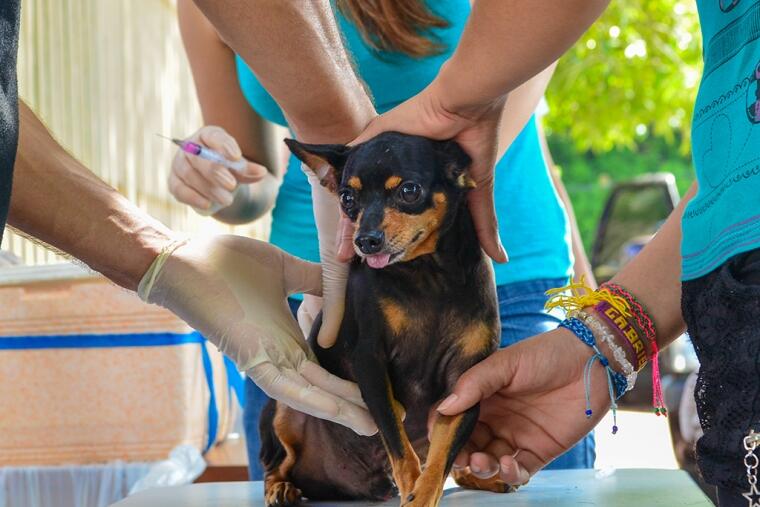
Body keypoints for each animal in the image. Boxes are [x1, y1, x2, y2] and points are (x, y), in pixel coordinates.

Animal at [258, 133, 508, 506]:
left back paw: (477, 477)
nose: (365, 240)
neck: (429, 277)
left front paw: (423, 495)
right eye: (347, 199)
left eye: (409, 191)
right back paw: (281, 488)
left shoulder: (464, 383)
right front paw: (412, 492)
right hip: (285, 407)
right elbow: (399, 445)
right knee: (274, 463)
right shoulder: (371, 364)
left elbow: (440, 459)